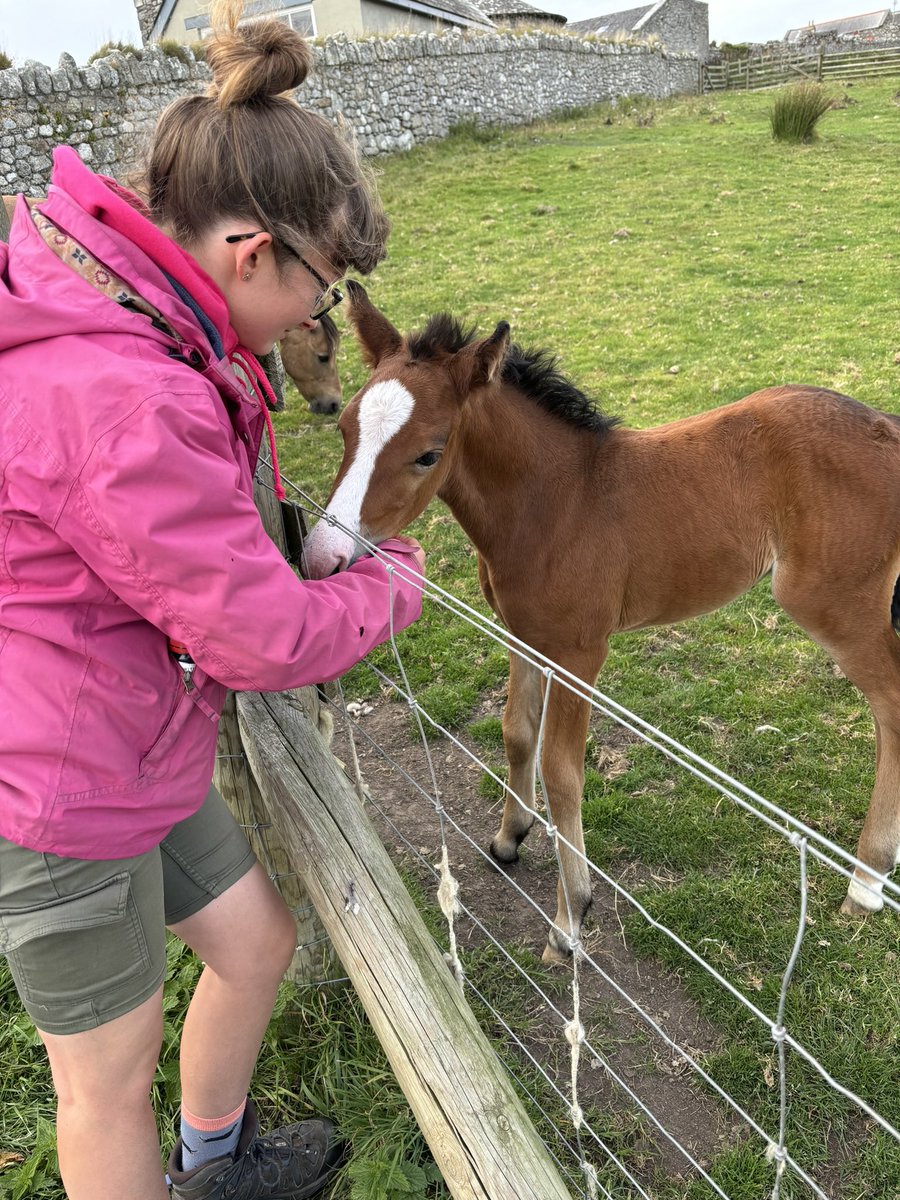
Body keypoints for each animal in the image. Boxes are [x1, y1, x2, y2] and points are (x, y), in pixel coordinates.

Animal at [303, 281, 900, 963]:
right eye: (345, 428)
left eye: (428, 454)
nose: (322, 557)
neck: (557, 502)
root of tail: (889, 429)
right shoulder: (522, 634)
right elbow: (517, 732)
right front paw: (510, 837)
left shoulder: (579, 654)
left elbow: (564, 773)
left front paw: (570, 919)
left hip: (837, 605)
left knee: (892, 703)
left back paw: (867, 880)